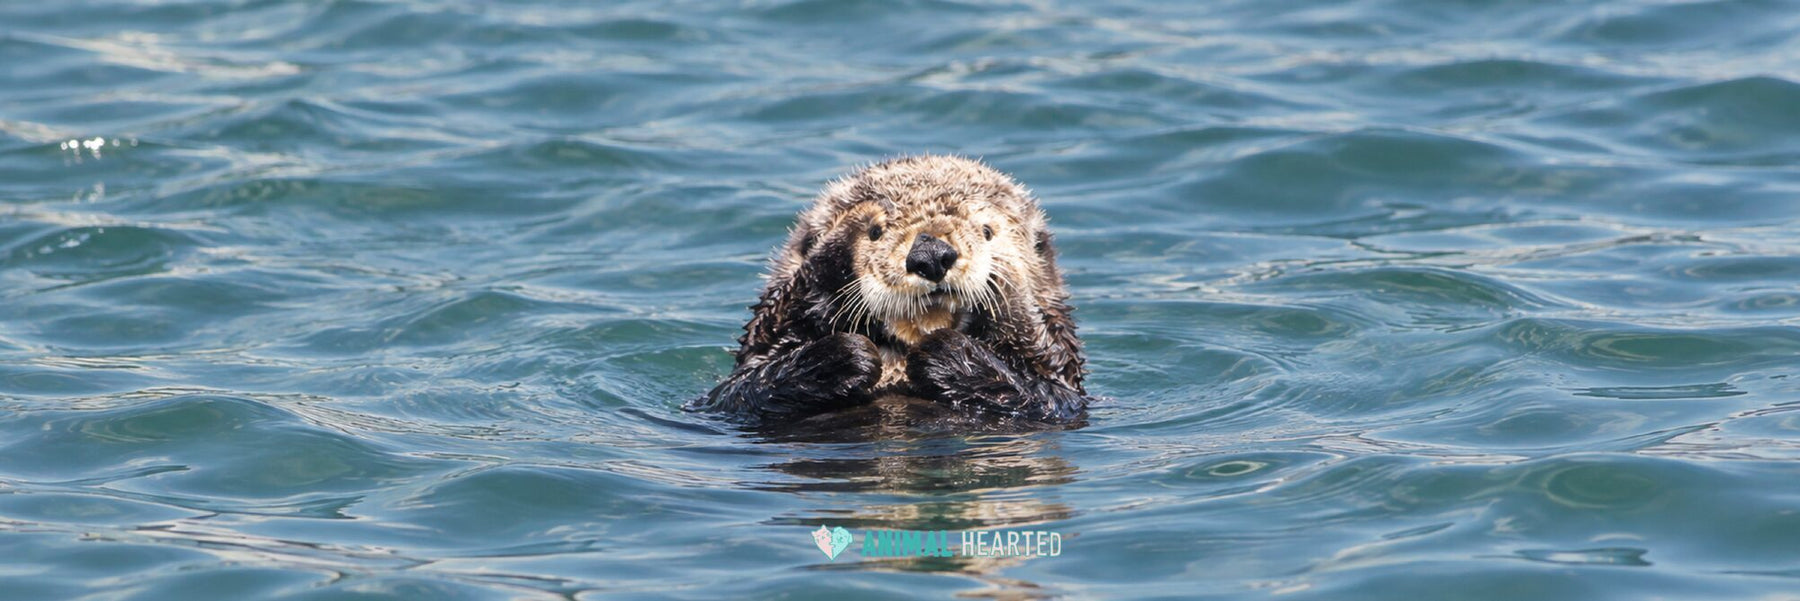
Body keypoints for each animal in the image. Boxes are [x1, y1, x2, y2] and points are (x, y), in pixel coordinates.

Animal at [687, 155, 1090, 426]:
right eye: (877, 232)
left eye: (987, 231)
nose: (931, 254)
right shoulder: (738, 387)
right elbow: (743, 387)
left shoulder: (1064, 393)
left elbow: (1049, 391)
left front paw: (951, 347)